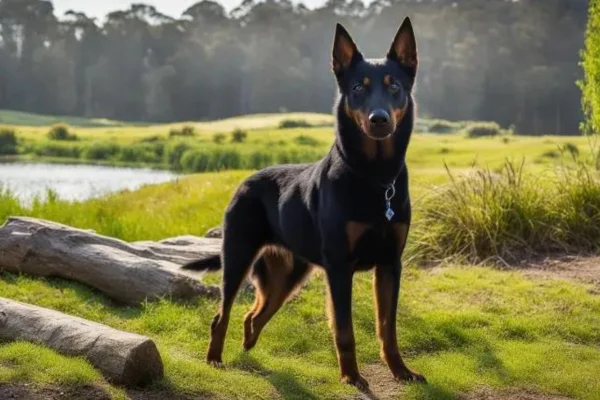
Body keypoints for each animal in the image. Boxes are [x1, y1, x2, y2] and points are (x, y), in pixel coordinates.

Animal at [185, 17, 424, 390]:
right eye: (358, 89)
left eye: (394, 86)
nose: (379, 119)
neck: (374, 176)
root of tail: (245, 183)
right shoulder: (340, 267)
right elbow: (345, 330)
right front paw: (351, 377)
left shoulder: (389, 265)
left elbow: (388, 328)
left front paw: (401, 371)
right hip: (238, 259)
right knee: (221, 315)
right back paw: (214, 360)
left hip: (287, 277)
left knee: (253, 316)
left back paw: (248, 347)